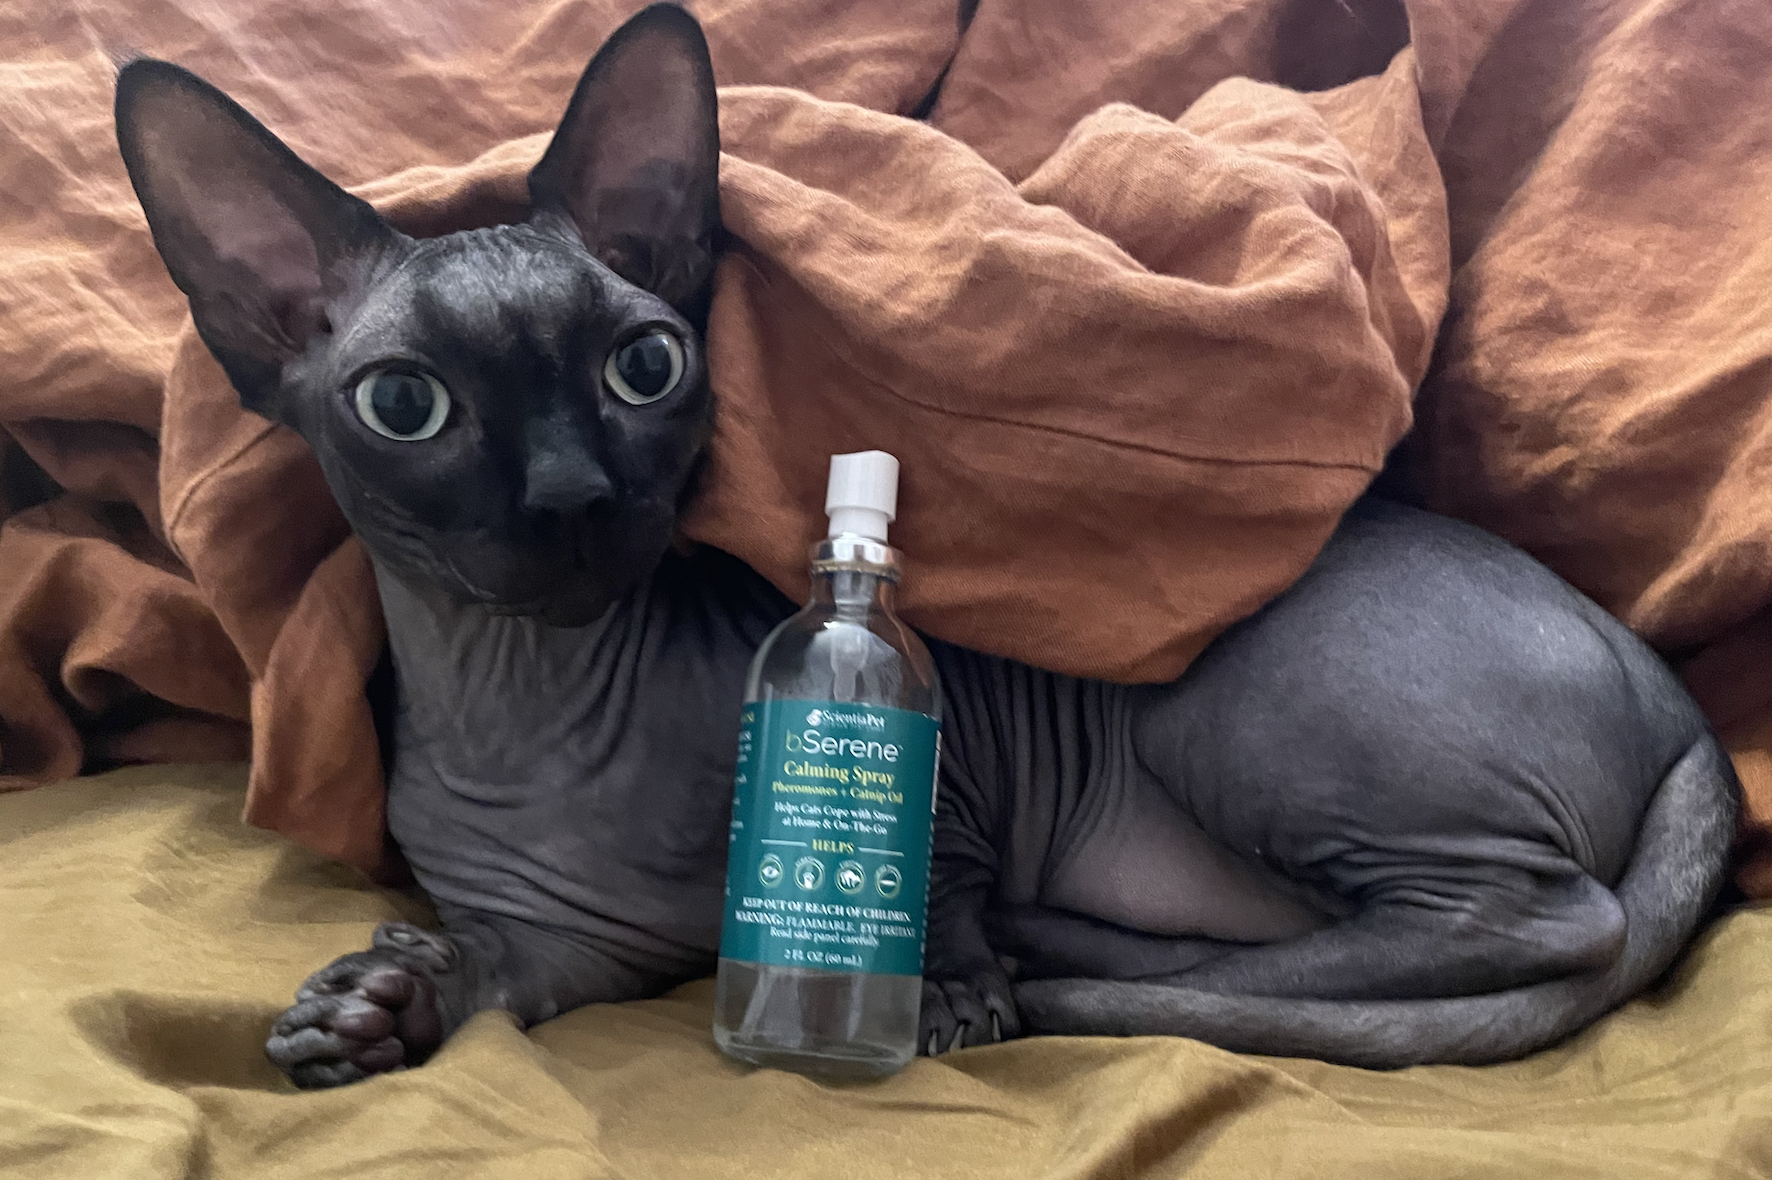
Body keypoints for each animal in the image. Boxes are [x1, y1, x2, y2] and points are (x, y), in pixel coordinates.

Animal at [117, 4, 1736, 1084]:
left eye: (644, 365)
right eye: (405, 403)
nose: (573, 497)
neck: (545, 712)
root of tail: (1678, 705)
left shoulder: (950, 784)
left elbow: (937, 881)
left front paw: (948, 983)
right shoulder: (568, 953)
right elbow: (491, 972)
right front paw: (379, 1006)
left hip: (1230, 701)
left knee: (1539, 923)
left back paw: (1063, 955)